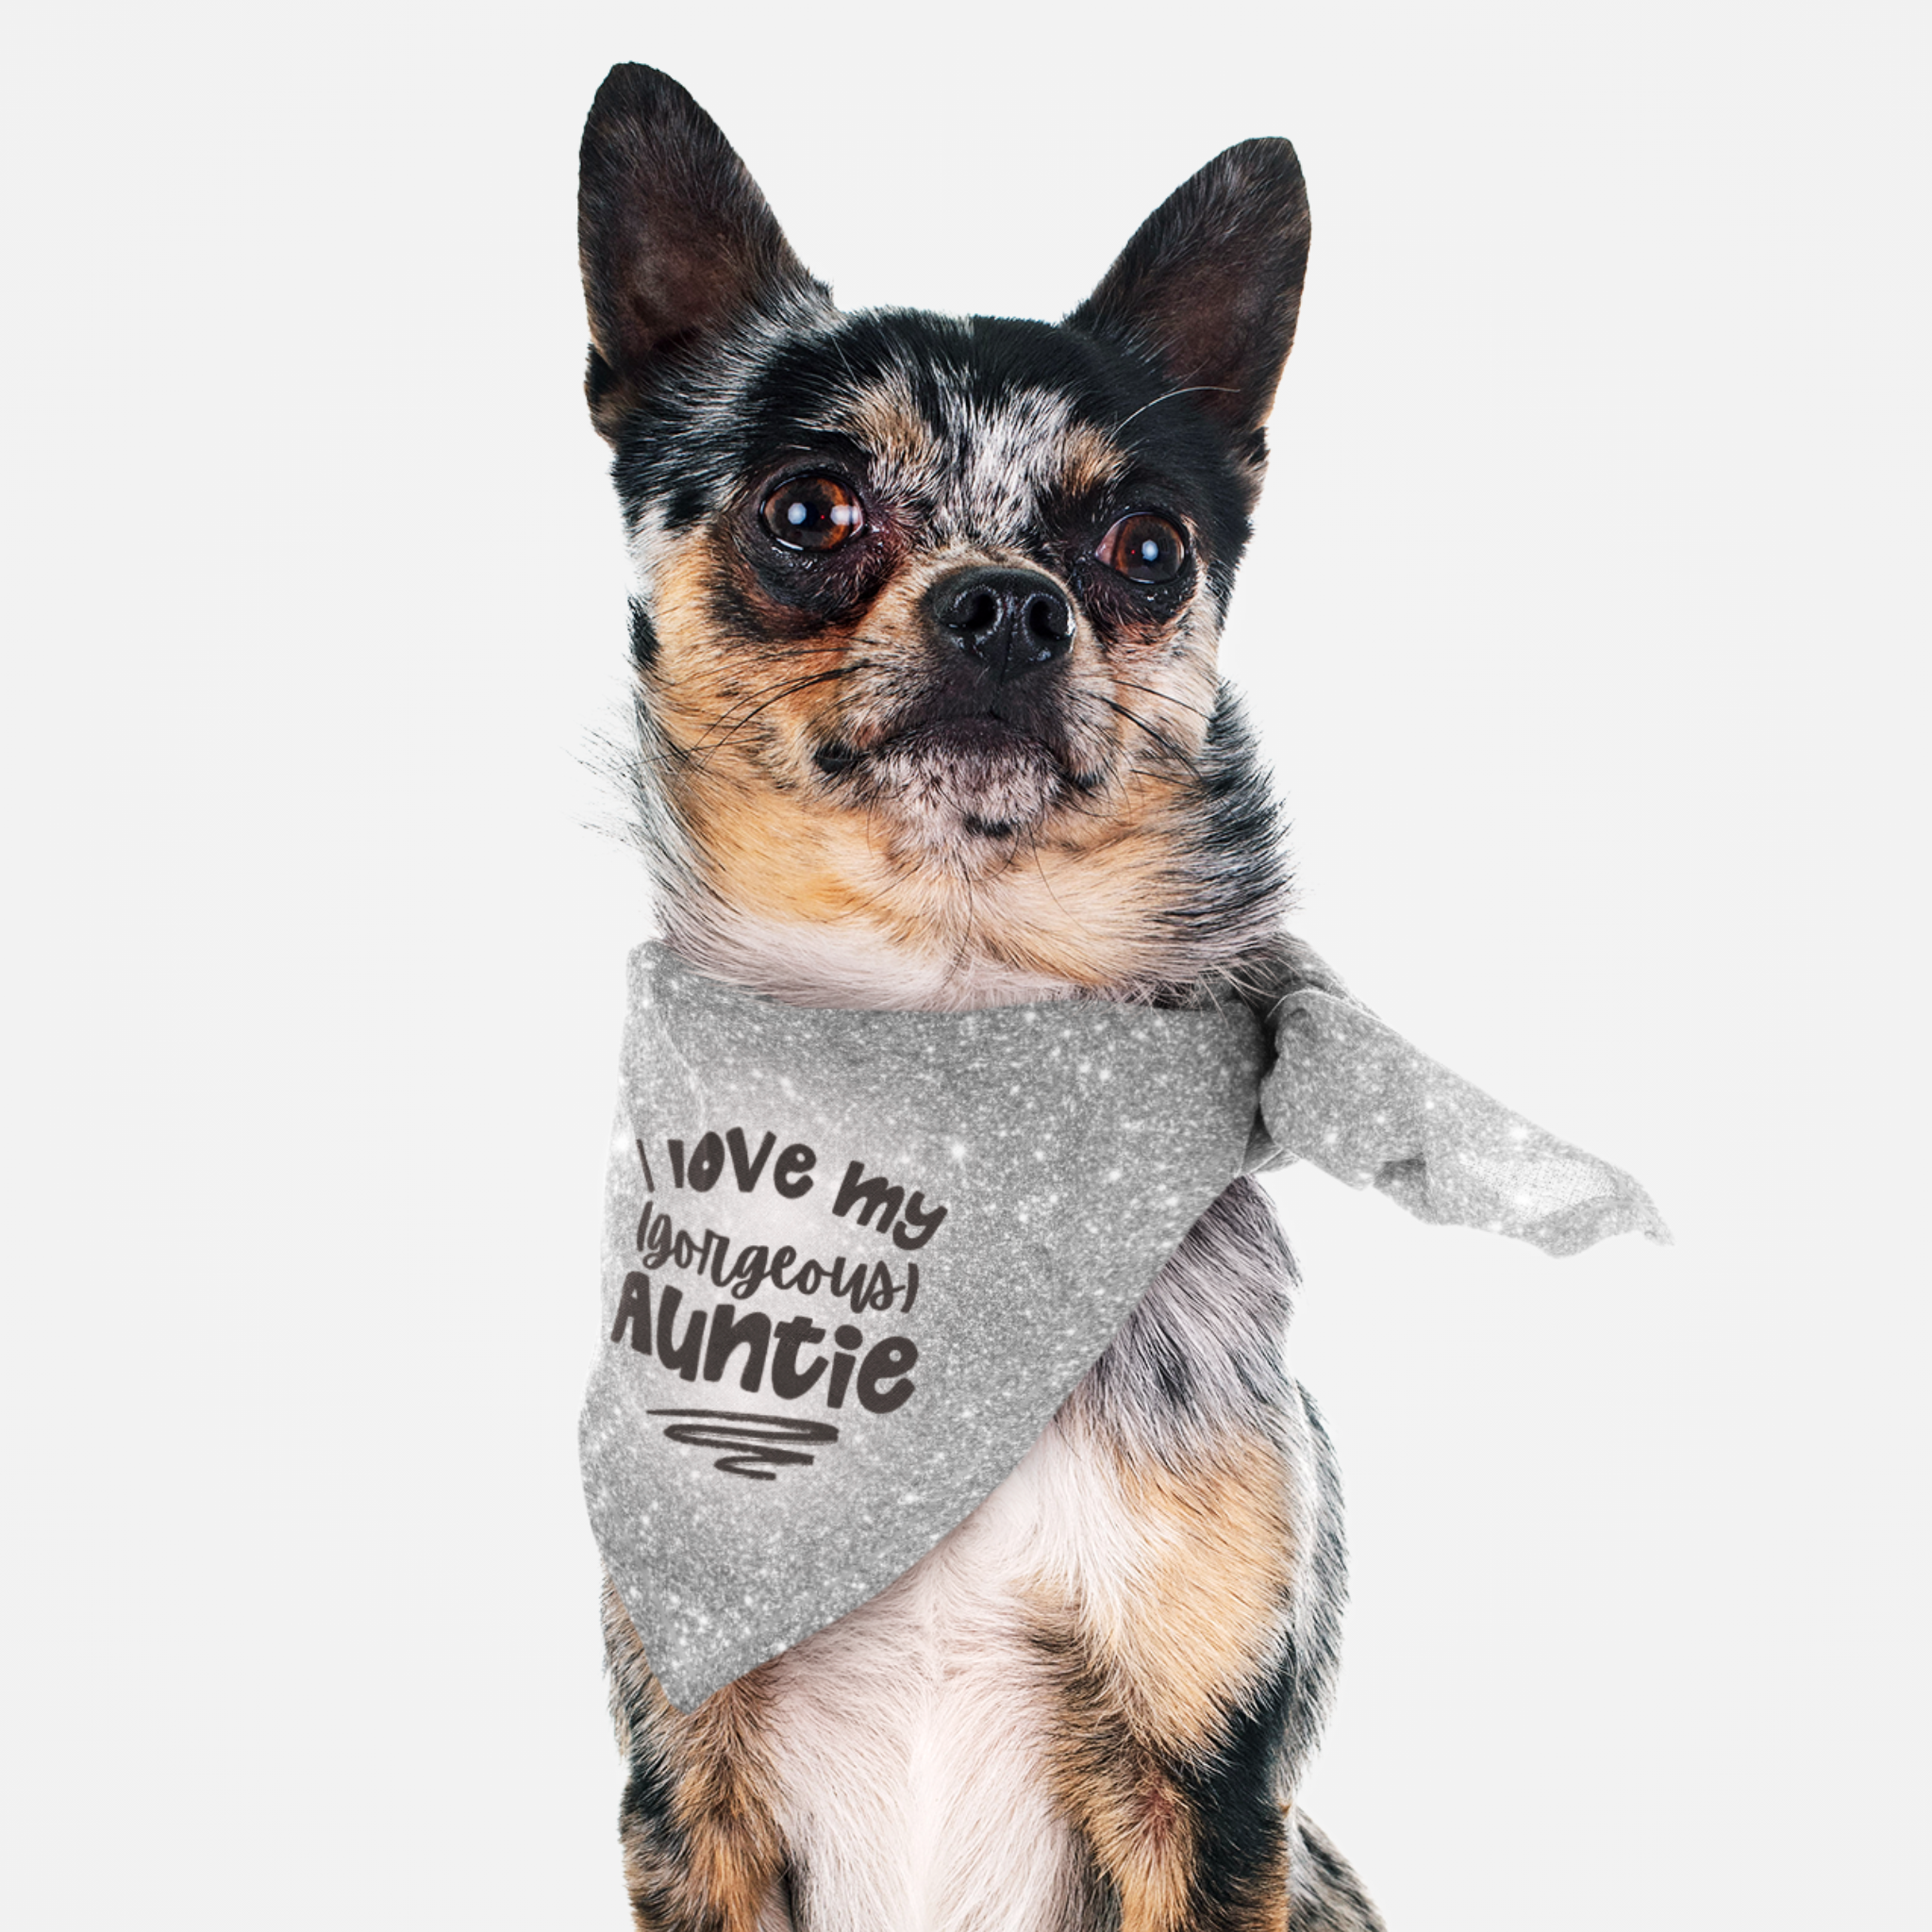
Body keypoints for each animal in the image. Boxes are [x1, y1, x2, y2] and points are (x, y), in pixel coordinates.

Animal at [575, 60, 1391, 1932]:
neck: (949, 1052)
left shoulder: (1211, 1794)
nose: (1009, 603)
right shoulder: (684, 1786)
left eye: (1145, 546)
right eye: (810, 511)